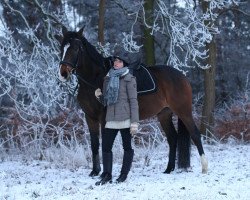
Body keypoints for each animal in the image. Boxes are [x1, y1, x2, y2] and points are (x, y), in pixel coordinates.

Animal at [57, 27, 208, 175]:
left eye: (75, 49)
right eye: (62, 48)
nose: (63, 73)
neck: (94, 80)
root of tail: (182, 77)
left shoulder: (104, 119)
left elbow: (105, 144)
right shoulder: (90, 117)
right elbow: (94, 144)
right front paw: (95, 172)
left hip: (183, 111)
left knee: (195, 134)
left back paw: (204, 167)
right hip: (164, 114)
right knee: (173, 138)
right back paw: (169, 169)